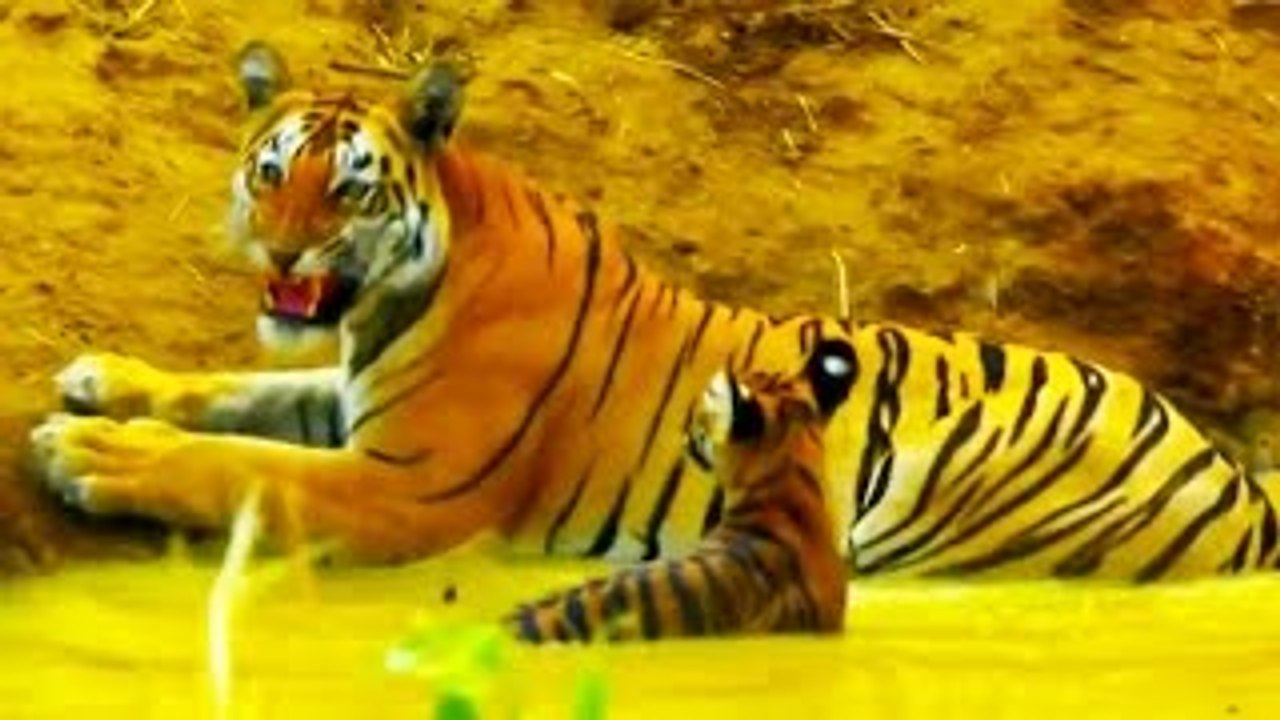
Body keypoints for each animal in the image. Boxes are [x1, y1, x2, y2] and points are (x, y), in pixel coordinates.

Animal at [29, 41, 1280, 581]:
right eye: (268, 170)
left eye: (347, 187)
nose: (281, 249)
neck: (391, 299)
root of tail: (1233, 477)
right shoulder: (351, 399)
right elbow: (237, 393)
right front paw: (104, 378)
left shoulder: (411, 488)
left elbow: (236, 465)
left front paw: (87, 451)